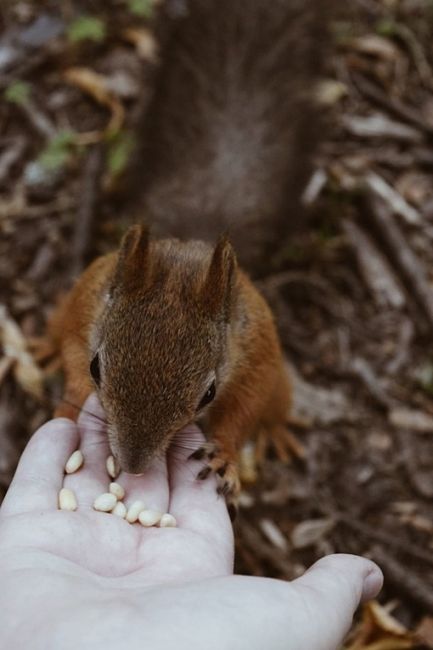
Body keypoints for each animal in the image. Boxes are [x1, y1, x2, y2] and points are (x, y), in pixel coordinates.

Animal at [45, 0, 326, 506]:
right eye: (98, 368)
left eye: (208, 395)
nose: (134, 465)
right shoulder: (87, 314)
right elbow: (73, 355)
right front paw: (70, 400)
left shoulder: (254, 351)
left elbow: (247, 404)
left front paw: (225, 456)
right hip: (82, 289)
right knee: (59, 323)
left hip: (277, 372)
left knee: (275, 400)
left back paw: (276, 430)